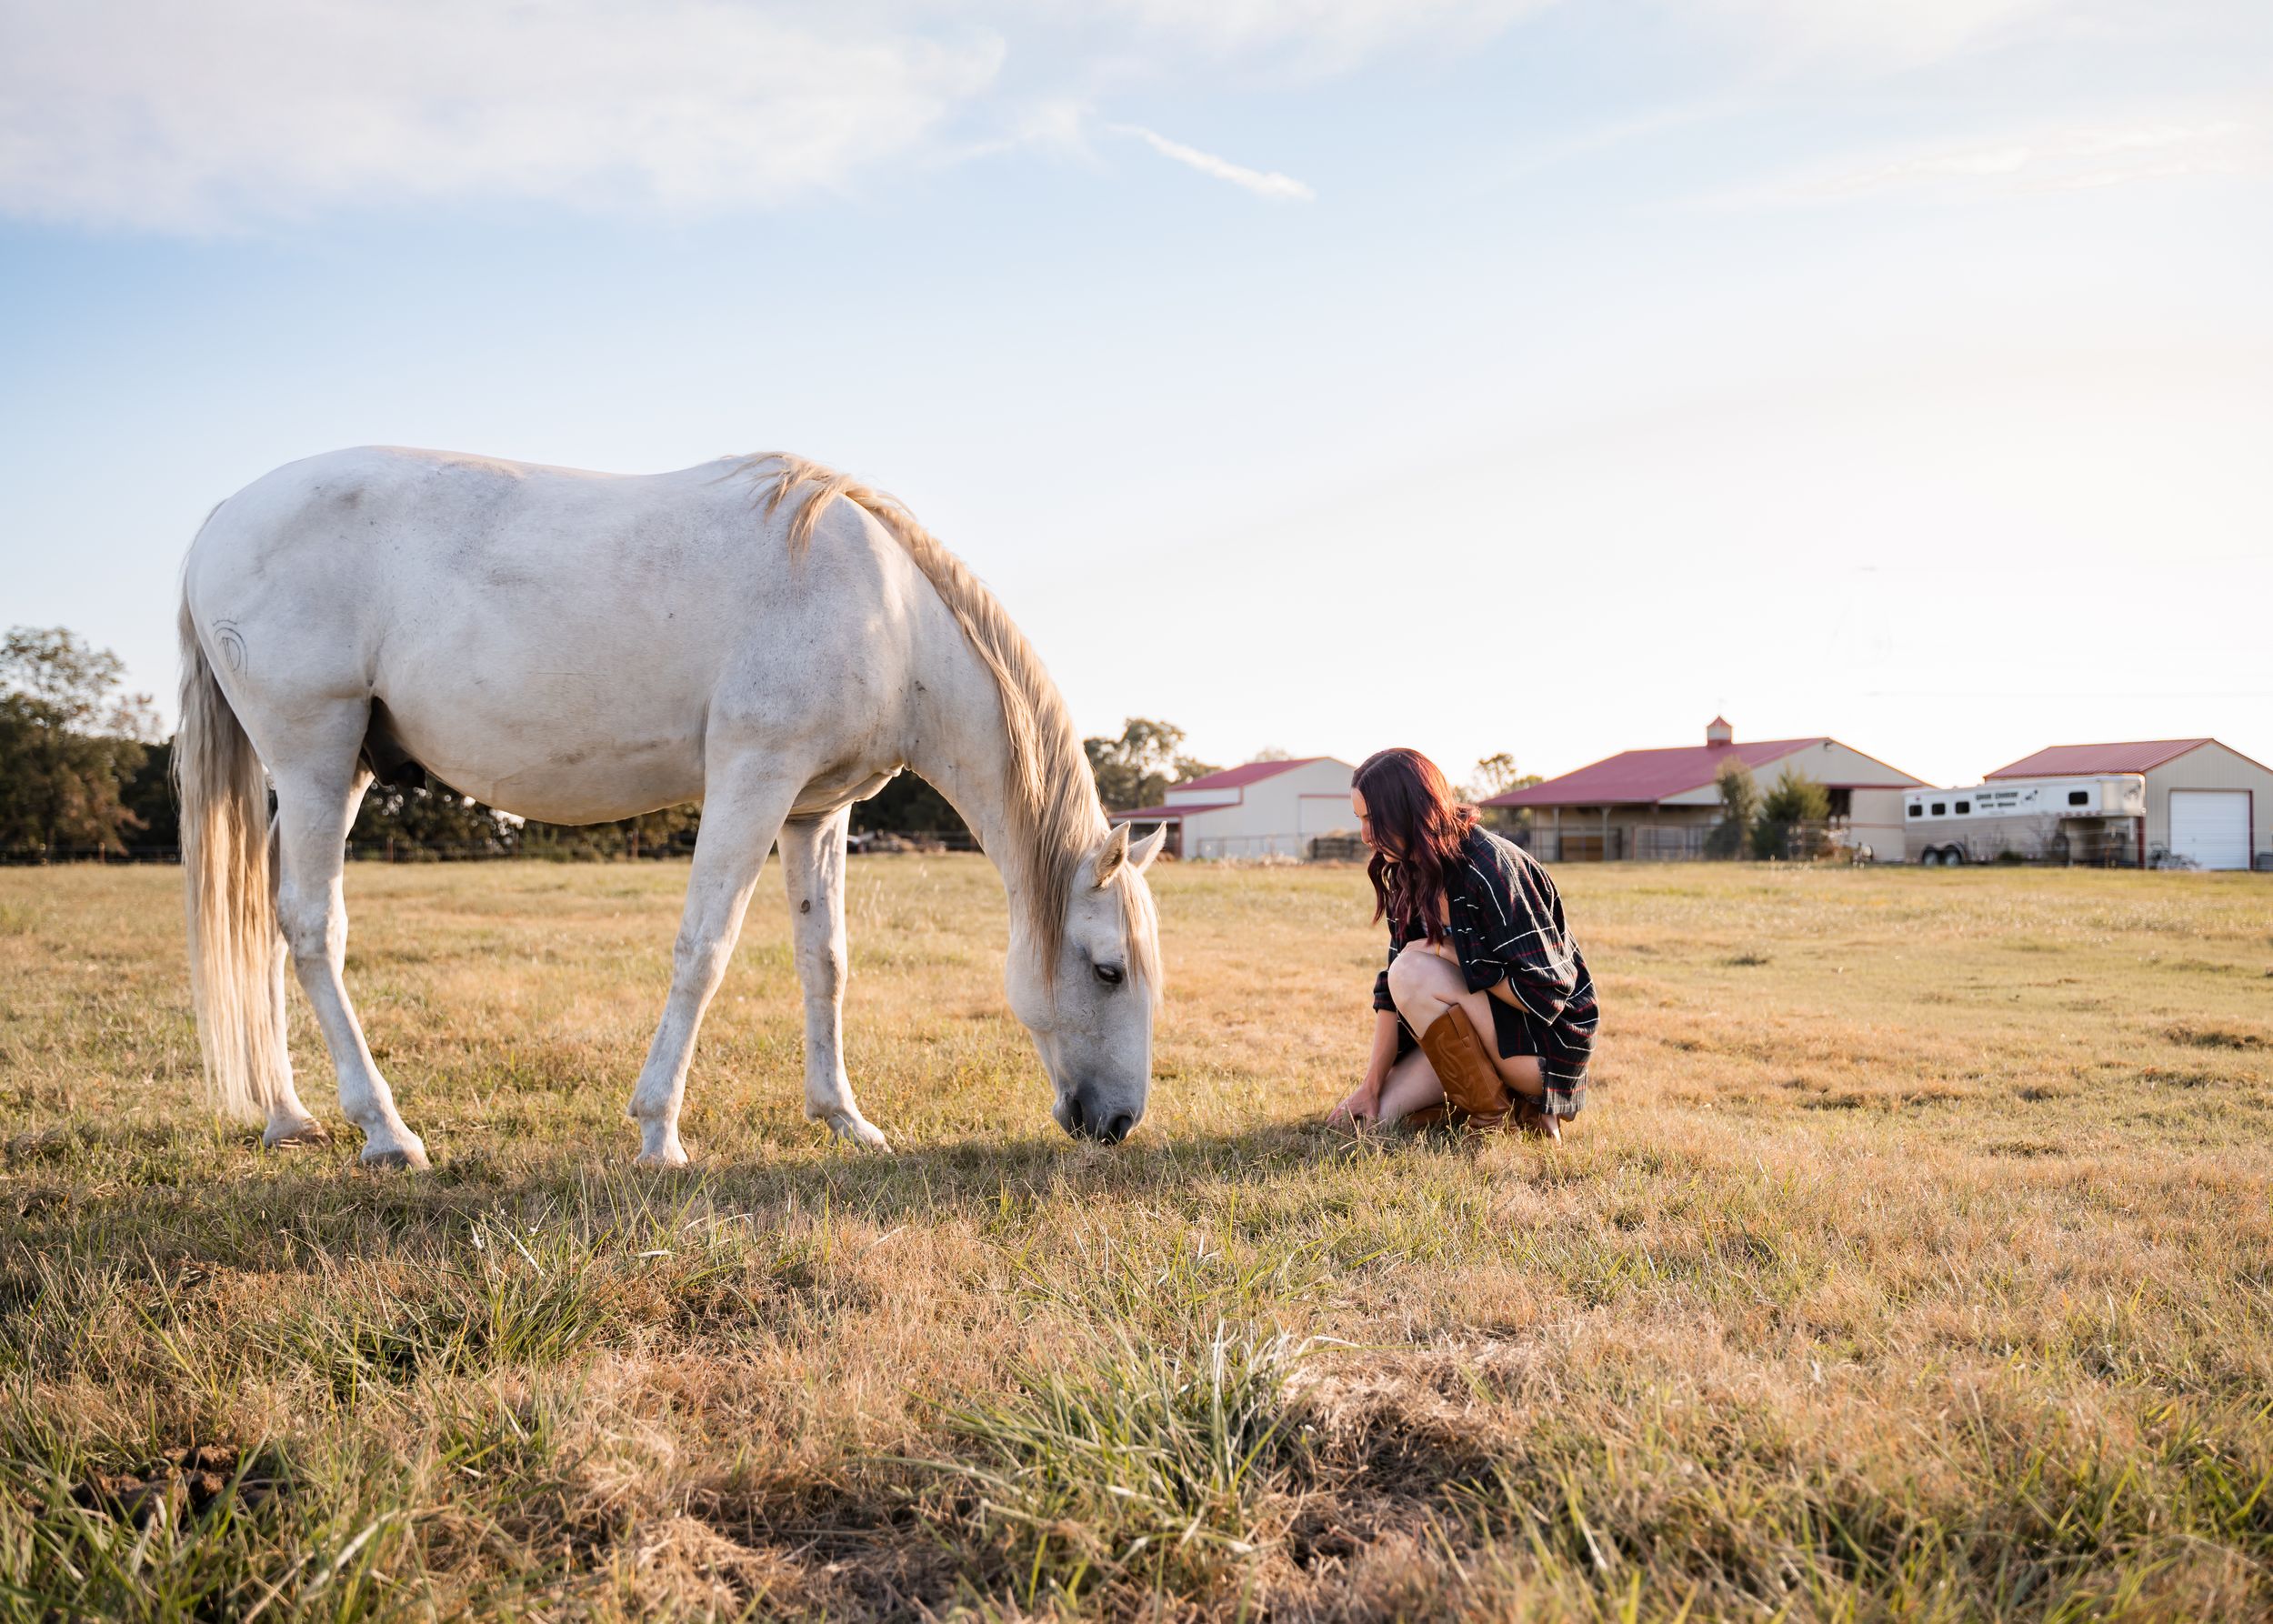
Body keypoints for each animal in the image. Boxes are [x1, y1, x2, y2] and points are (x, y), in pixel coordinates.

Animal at [173, 447, 1166, 1168]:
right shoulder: (752, 779)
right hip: (314, 758)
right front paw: (659, 1131)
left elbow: (825, 962)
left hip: (332, 776)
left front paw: (843, 1118)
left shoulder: (815, 813)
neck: (890, 617)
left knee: (265, 919)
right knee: (313, 928)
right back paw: (385, 1130)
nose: (1117, 1123)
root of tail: (221, 515)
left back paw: (288, 1114)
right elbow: (705, 951)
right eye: (1108, 970)